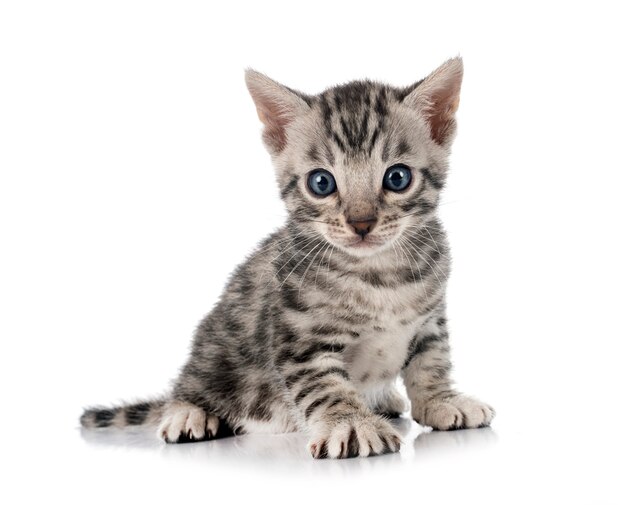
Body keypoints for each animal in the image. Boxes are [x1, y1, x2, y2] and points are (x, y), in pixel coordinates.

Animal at [81, 58, 492, 456]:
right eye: (321, 183)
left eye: (397, 178)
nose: (361, 223)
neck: (379, 273)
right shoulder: (300, 338)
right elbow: (326, 386)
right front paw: (351, 423)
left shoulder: (430, 319)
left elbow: (431, 362)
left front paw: (441, 401)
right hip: (213, 349)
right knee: (190, 384)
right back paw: (188, 412)